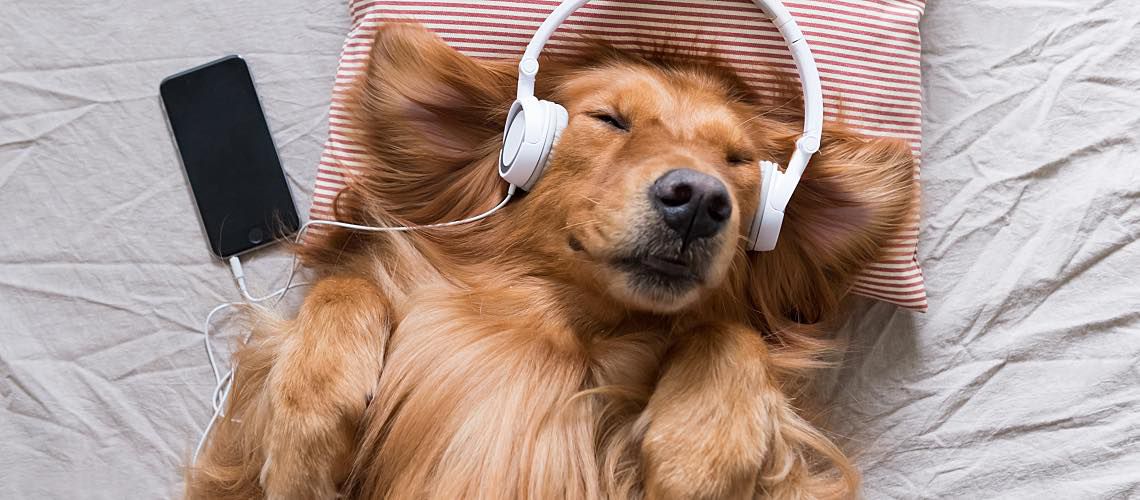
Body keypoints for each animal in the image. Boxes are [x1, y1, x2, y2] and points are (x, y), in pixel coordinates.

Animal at [186, 21, 916, 498]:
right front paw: (304, 435)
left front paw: (700, 452)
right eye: (610, 121)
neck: (561, 329)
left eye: (738, 162)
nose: (701, 201)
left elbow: (731, 331)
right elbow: (345, 287)